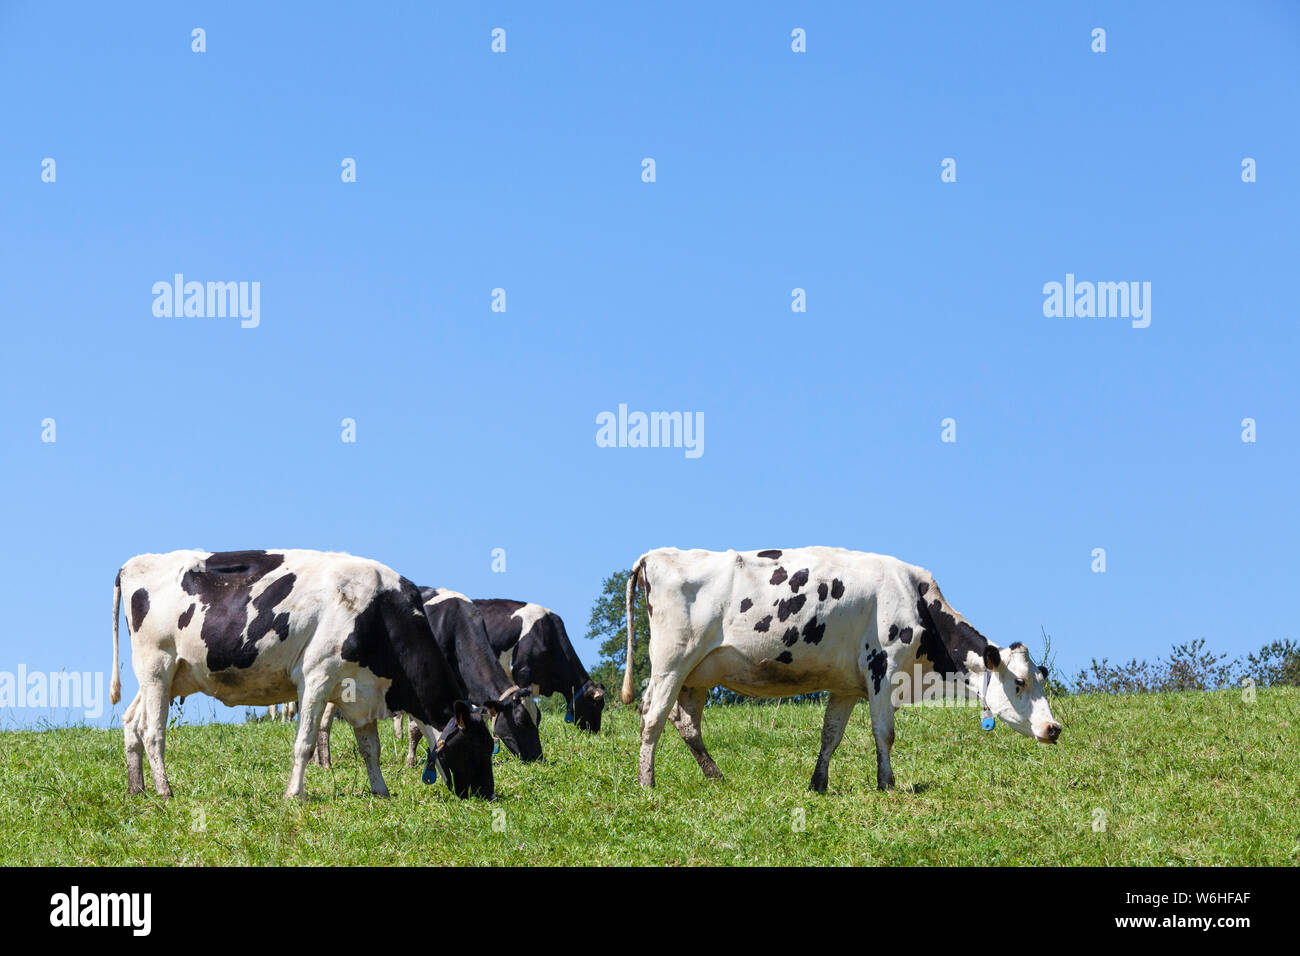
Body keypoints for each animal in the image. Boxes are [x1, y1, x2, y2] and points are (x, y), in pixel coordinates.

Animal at [110, 549, 497, 800]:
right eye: (480, 746)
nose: (488, 795)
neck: (378, 613)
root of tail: (135, 562)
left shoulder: (361, 690)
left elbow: (370, 748)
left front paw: (381, 791)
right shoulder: (317, 676)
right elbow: (305, 743)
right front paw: (295, 795)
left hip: (169, 674)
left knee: (132, 723)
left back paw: (136, 788)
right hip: (156, 665)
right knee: (153, 731)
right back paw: (164, 791)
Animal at [314, 588, 543, 769]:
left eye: (538, 718)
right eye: (521, 721)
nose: (537, 757)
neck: (455, 624)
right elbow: (415, 729)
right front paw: (411, 761)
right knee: (324, 718)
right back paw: (324, 761)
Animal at [620, 547, 1062, 792]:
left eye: (1041, 678)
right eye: (1019, 681)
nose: (1054, 728)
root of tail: (657, 554)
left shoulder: (847, 686)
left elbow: (830, 735)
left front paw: (818, 784)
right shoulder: (884, 668)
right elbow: (885, 733)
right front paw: (887, 785)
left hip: (699, 674)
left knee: (685, 722)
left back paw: (716, 777)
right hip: (672, 662)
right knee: (653, 717)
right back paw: (646, 783)